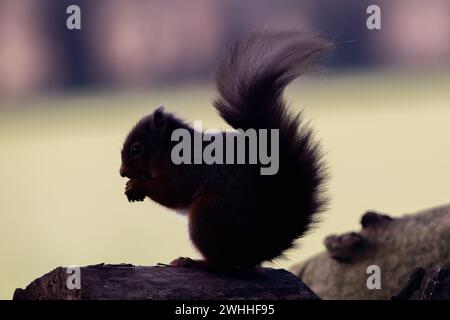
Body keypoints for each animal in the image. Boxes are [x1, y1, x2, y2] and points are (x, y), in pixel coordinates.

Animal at [118, 31, 330, 268]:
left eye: (136, 149)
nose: (122, 173)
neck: (170, 150)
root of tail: (260, 247)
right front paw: (131, 187)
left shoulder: (189, 170)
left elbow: (173, 191)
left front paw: (138, 185)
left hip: (207, 215)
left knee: (221, 263)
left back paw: (192, 262)